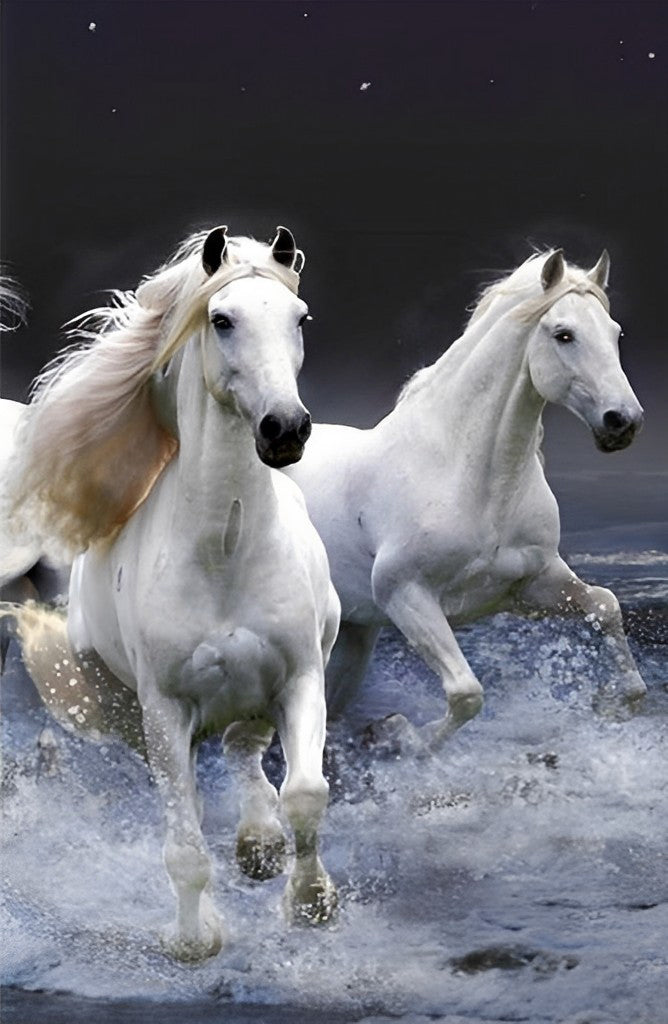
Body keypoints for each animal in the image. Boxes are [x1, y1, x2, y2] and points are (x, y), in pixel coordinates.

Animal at [3, 226, 341, 960]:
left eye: (300, 319)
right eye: (222, 320)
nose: (285, 429)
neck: (227, 552)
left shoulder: (301, 675)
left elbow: (305, 793)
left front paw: (311, 903)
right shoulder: (164, 710)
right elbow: (184, 845)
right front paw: (194, 941)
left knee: (244, 748)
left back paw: (259, 844)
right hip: (130, 713)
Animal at [285, 249, 646, 750]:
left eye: (615, 333)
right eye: (564, 334)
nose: (623, 421)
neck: (472, 479)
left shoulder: (530, 586)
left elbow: (606, 605)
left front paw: (613, 703)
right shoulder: (406, 595)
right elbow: (466, 693)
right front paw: (401, 735)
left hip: (353, 636)